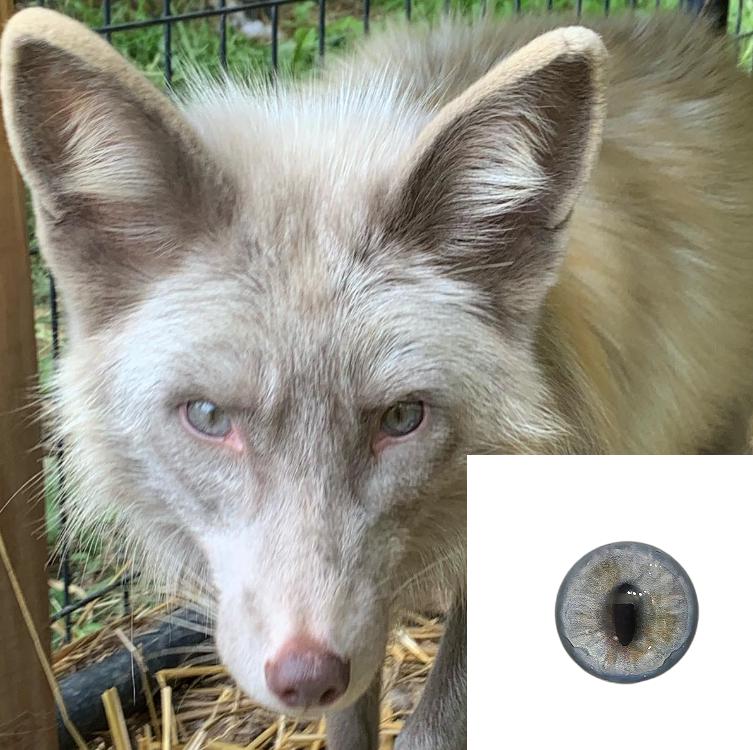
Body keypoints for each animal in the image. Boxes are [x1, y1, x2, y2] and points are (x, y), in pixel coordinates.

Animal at [3, 5, 753, 749]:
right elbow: (349, 723)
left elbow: (429, 730)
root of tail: (698, 40)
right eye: (209, 417)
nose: (306, 675)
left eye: (401, 418)